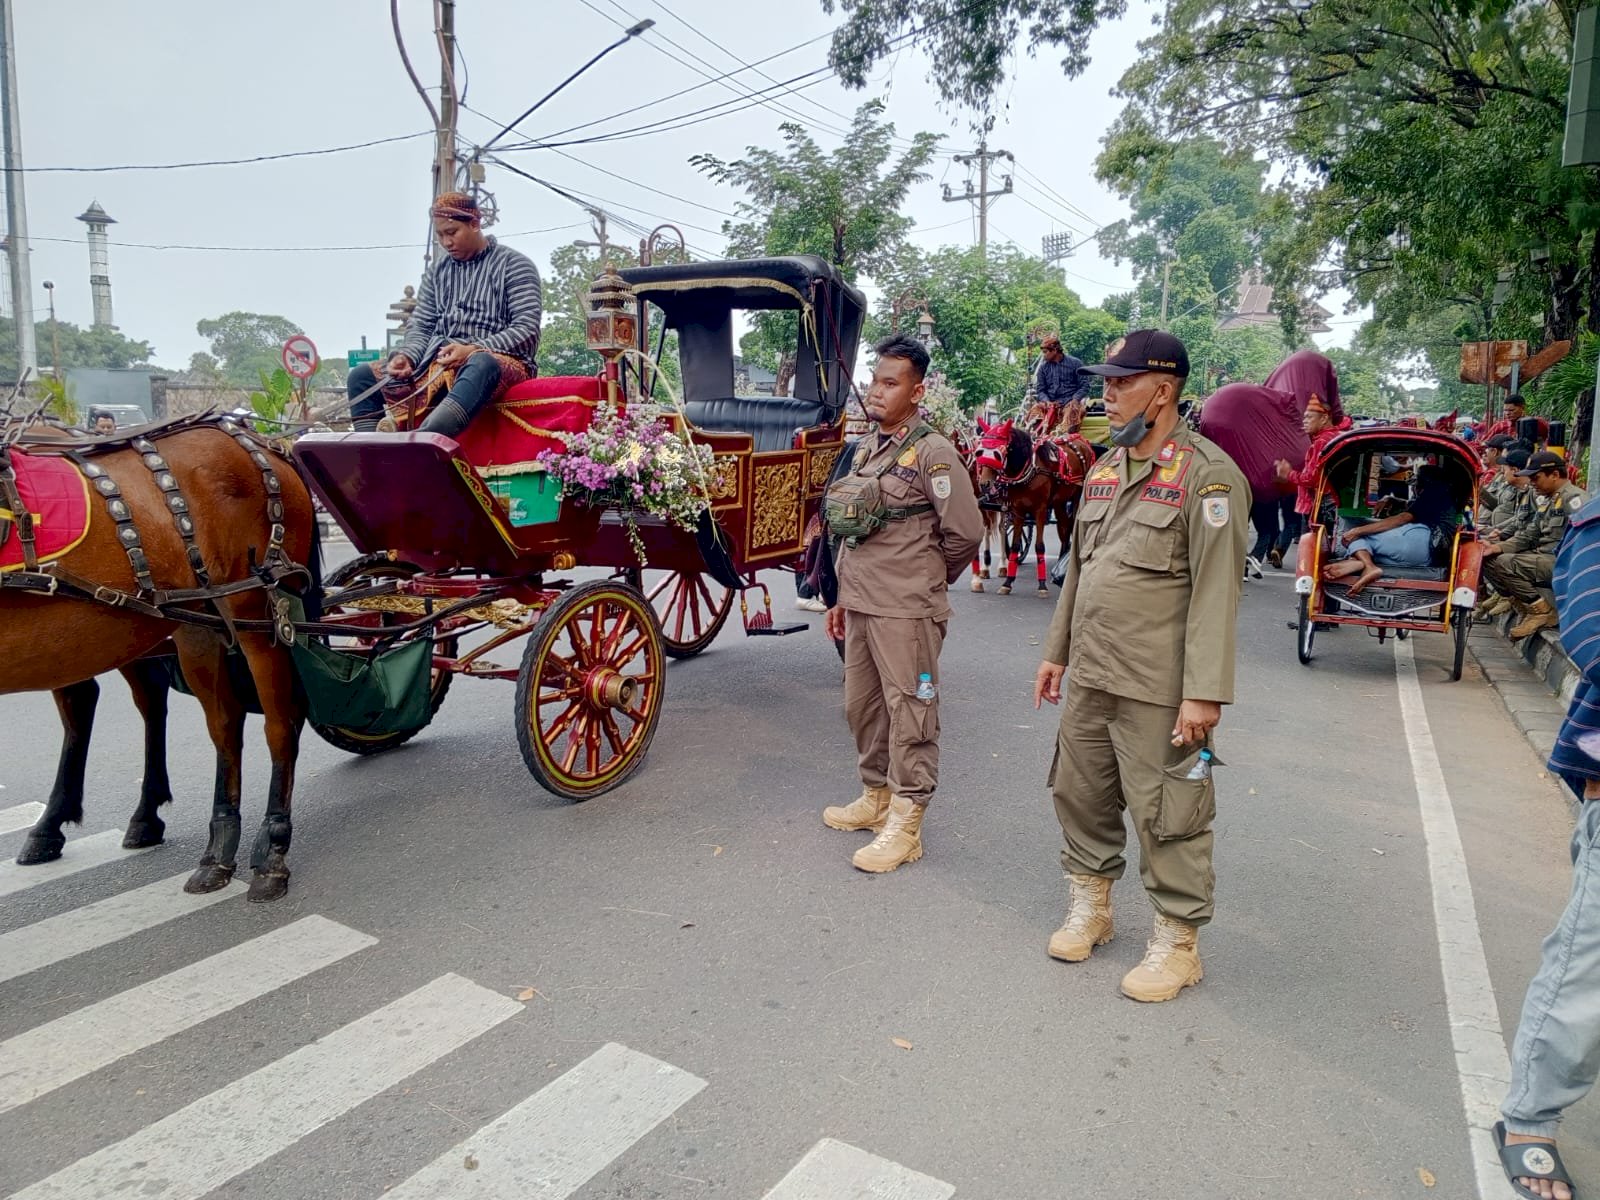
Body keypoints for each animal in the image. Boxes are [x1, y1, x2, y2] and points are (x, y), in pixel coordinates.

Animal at [0, 416, 318, 902]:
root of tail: (261, 440)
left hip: (254, 614)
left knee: (279, 720)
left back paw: (272, 846)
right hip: (189, 621)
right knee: (222, 722)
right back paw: (215, 844)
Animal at [966, 419, 1094, 598]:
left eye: (998, 453)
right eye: (979, 452)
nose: (984, 484)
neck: (1028, 468)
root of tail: (1081, 441)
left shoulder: (1040, 510)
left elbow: (1039, 546)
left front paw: (1042, 585)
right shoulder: (1017, 510)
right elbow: (1015, 545)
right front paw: (1007, 583)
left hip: (1077, 497)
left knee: (1071, 526)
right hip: (1059, 502)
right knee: (1064, 528)